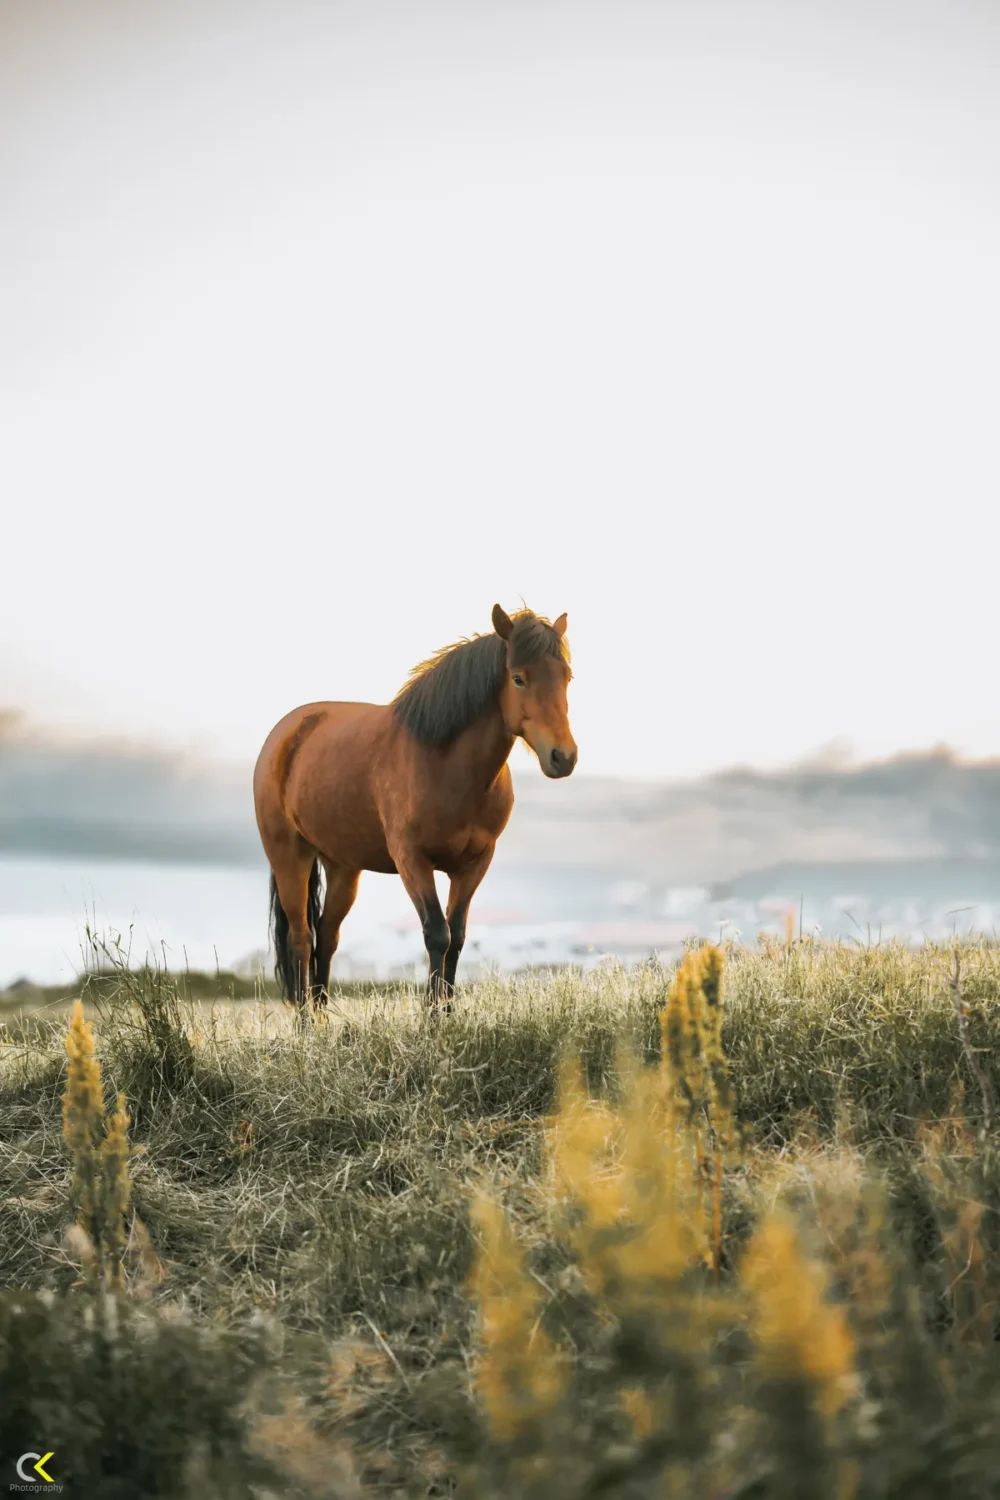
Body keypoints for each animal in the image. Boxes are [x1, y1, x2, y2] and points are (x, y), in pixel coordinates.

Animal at [251, 603, 578, 1014]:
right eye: (518, 678)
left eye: (566, 677)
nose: (563, 757)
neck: (444, 763)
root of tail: (285, 734)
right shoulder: (412, 860)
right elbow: (437, 933)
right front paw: (433, 1015)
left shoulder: (474, 864)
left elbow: (457, 936)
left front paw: (449, 1012)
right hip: (290, 857)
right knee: (300, 939)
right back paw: (306, 1024)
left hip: (343, 868)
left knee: (326, 935)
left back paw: (325, 1019)